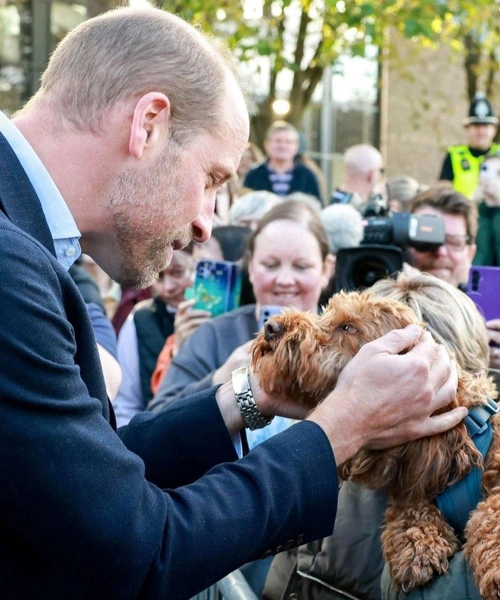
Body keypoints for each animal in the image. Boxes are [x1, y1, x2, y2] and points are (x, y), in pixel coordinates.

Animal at [252, 290, 500, 596]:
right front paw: (417, 545)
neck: (469, 429)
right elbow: (408, 507)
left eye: (347, 327)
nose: (271, 327)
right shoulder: (414, 483)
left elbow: (492, 510)